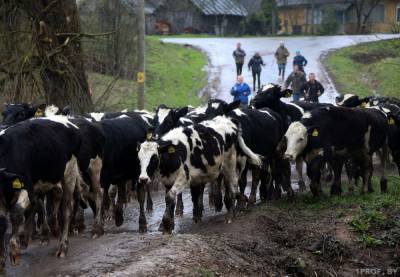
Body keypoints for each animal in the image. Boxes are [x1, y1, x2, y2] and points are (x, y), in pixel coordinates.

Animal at [0, 115, 81, 266]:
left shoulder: (27, 187)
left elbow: (16, 213)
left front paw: (14, 250)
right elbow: (2, 223)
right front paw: (2, 259)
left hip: (69, 172)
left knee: (67, 208)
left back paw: (63, 246)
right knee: (54, 199)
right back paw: (52, 230)